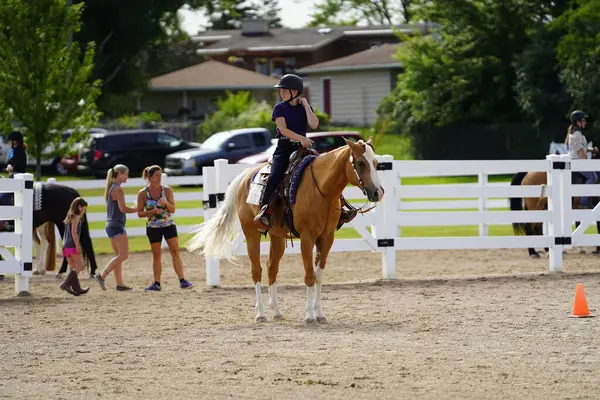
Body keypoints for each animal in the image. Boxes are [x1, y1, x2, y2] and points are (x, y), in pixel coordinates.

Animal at [186, 138, 384, 322]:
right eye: (360, 163)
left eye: (376, 163)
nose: (378, 193)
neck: (321, 190)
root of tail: (245, 176)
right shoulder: (307, 238)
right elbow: (309, 275)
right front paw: (309, 316)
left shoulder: (326, 238)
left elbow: (319, 276)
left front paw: (319, 314)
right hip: (251, 235)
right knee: (256, 270)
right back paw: (261, 314)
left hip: (277, 238)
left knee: (271, 268)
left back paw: (276, 312)